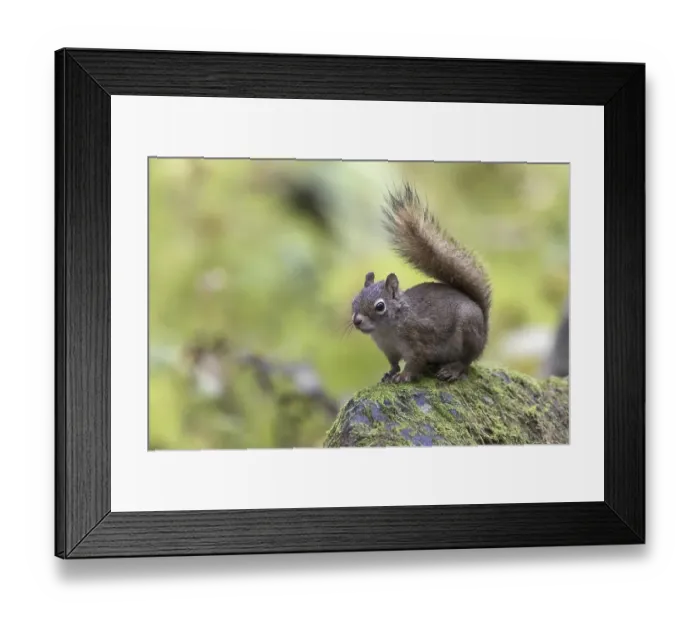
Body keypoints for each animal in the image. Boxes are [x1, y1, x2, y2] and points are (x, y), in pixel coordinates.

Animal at [351, 184, 492, 384]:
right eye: (353, 302)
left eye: (380, 306)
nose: (356, 321)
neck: (386, 330)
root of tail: (484, 332)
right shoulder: (389, 349)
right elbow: (394, 363)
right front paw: (390, 373)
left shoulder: (417, 341)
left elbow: (415, 362)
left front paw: (404, 376)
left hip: (469, 332)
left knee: (467, 360)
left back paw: (452, 369)